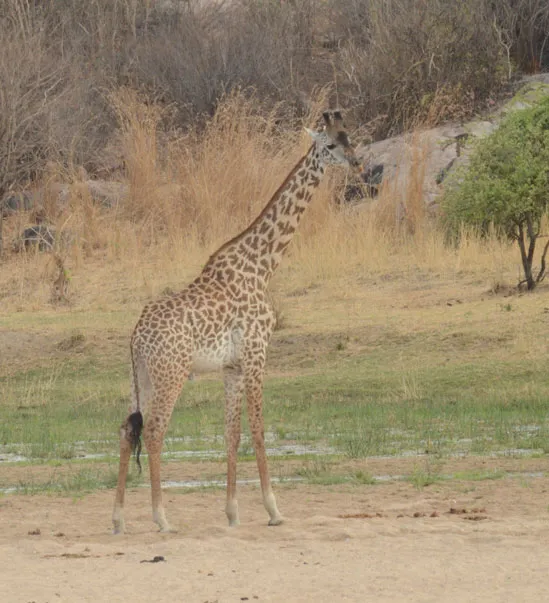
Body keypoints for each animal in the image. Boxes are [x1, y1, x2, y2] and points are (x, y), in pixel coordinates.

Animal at [112, 109, 360, 532]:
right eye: (329, 145)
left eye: (350, 139)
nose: (356, 164)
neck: (262, 266)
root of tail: (136, 336)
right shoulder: (258, 353)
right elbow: (259, 428)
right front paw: (274, 510)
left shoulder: (232, 366)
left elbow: (232, 433)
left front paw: (232, 512)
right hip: (171, 372)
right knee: (156, 430)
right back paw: (162, 517)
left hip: (140, 375)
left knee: (129, 429)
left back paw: (118, 519)